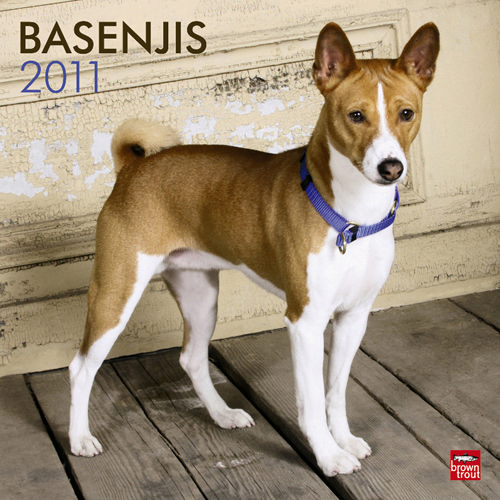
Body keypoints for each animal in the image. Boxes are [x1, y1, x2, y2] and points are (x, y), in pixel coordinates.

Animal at [69, 21, 439, 476]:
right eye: (356, 116)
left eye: (406, 113)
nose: (391, 167)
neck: (353, 217)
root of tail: (133, 168)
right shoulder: (305, 321)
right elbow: (312, 401)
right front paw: (329, 455)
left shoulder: (354, 316)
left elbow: (335, 393)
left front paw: (345, 440)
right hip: (116, 294)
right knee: (81, 367)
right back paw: (80, 438)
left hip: (200, 295)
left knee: (192, 358)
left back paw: (222, 414)